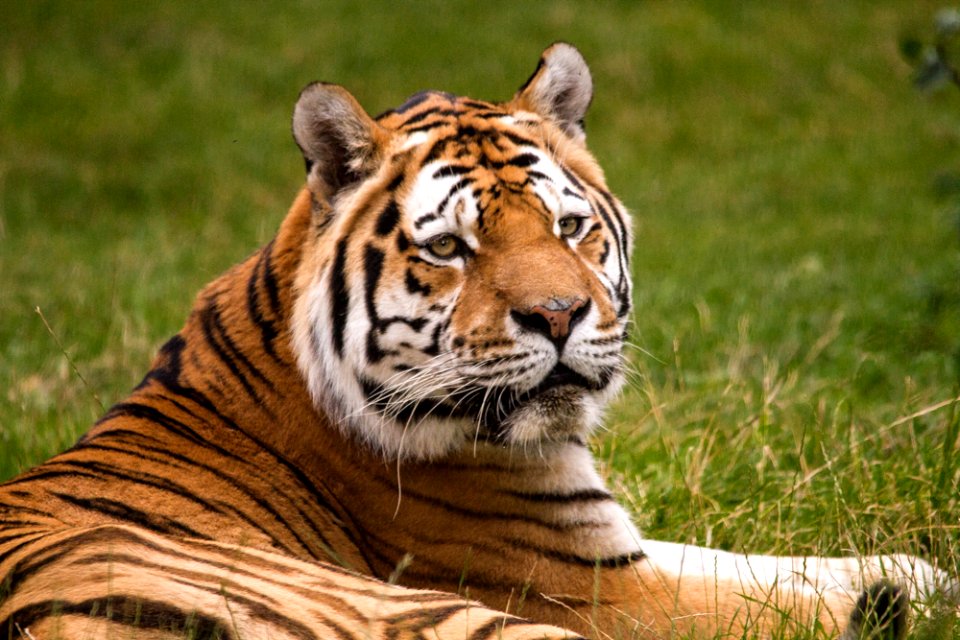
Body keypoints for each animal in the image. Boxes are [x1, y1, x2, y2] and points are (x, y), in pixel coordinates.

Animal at [0, 42, 948, 636]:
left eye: (569, 228)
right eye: (451, 248)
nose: (561, 315)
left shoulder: (614, 544)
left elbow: (781, 564)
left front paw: (918, 571)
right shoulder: (590, 588)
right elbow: (775, 603)